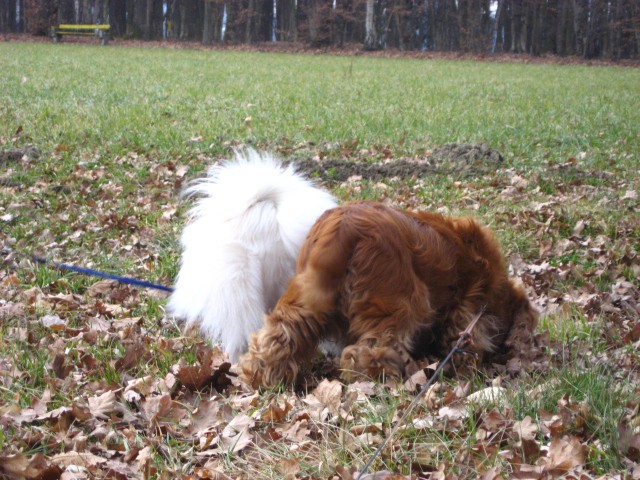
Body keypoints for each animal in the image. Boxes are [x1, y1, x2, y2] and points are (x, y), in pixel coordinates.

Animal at [239, 202, 536, 386]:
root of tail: (342, 228)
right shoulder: (466, 307)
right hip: (401, 301)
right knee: (369, 351)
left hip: (307, 298)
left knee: (275, 337)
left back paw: (261, 374)